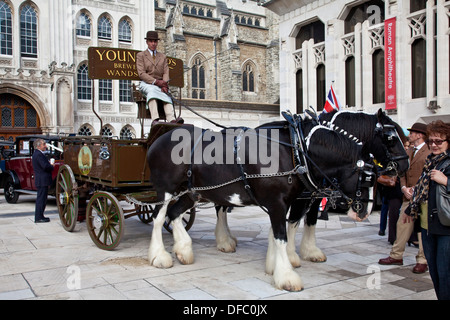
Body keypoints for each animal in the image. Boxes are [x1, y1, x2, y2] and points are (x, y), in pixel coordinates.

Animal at [146, 121, 374, 292]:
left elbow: (277, 233)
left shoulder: (282, 204)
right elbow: (281, 236)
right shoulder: (276, 203)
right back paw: (159, 256)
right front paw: (286, 275)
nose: (364, 211)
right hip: (166, 190)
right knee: (159, 217)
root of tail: (157, 141)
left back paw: (183, 250)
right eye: (365, 178)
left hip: (192, 193)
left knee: (174, 214)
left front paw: (274, 266)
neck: (294, 150)